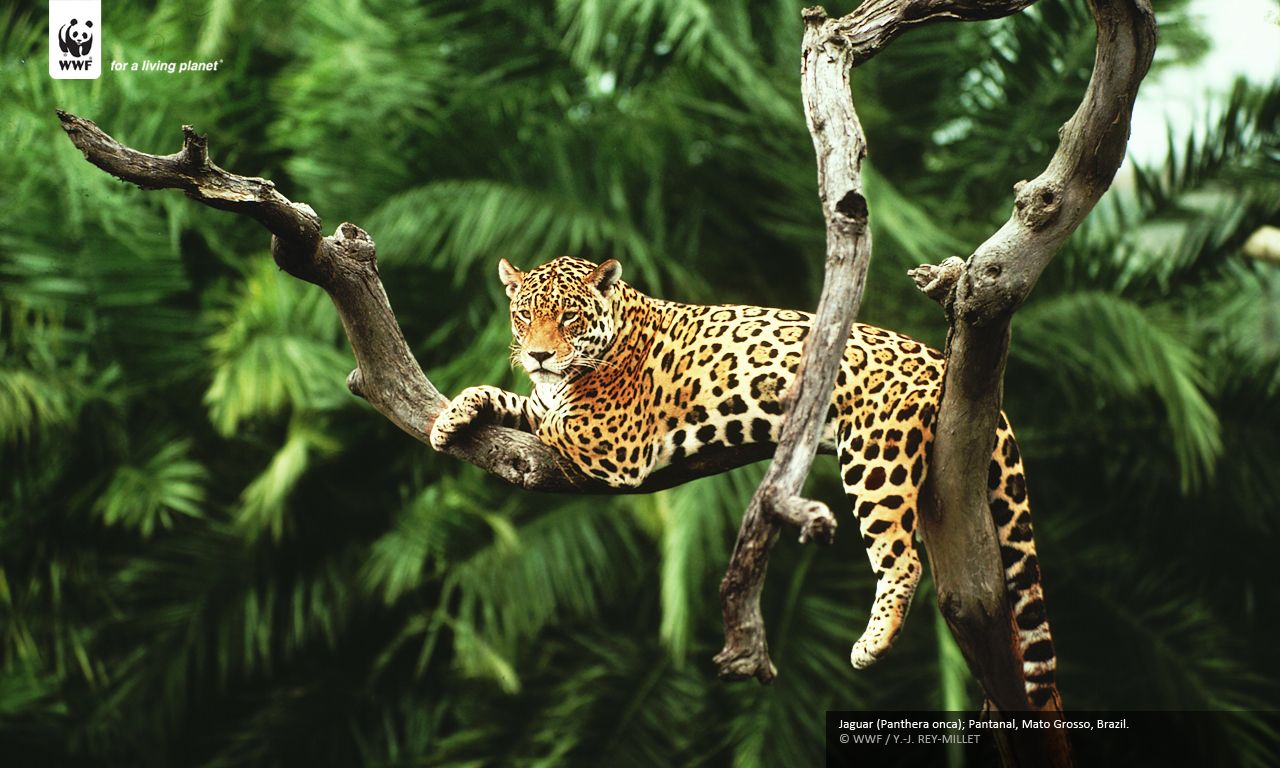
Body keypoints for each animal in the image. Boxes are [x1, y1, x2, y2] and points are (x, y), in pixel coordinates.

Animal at [430, 255, 1058, 708]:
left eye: (570, 318)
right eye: (523, 316)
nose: (538, 354)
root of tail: (939, 360)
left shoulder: (613, 440)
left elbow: (551, 416)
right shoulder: (552, 402)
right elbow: (515, 399)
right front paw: (452, 416)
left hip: (875, 458)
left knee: (901, 558)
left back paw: (872, 644)